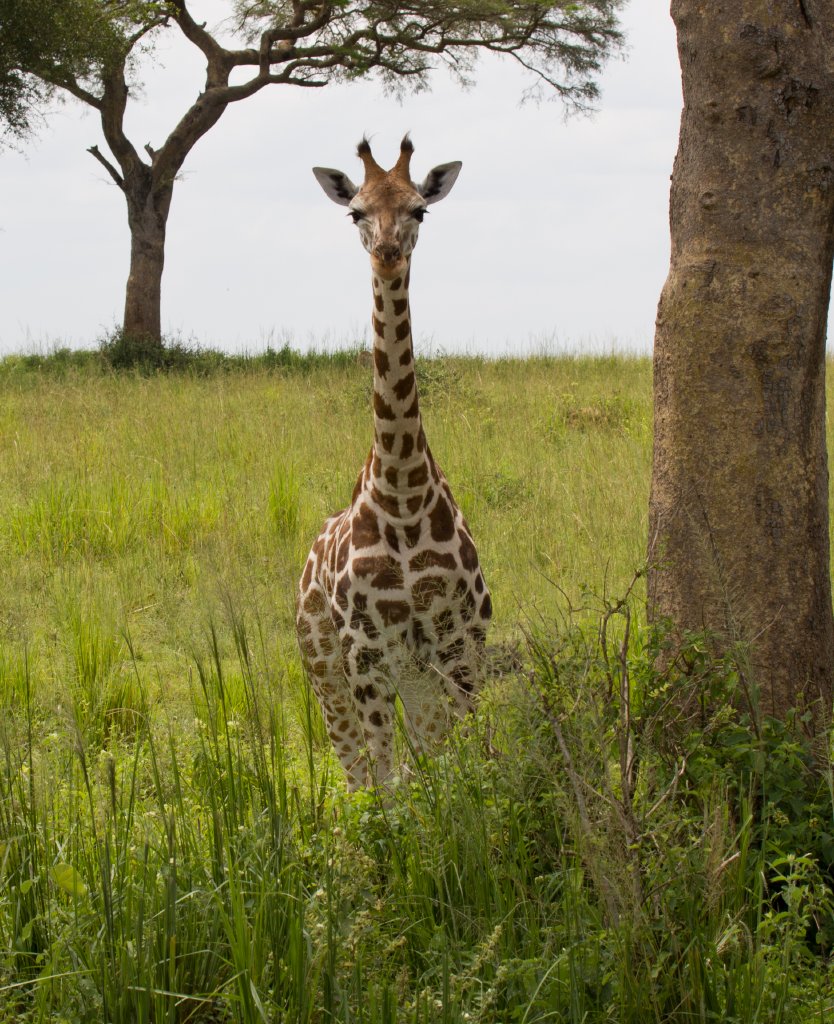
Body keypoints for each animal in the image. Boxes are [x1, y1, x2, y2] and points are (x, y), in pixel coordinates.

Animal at [296, 135, 492, 790]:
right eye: (355, 211)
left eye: (419, 210)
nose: (386, 253)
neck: (403, 494)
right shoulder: (364, 651)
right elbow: (386, 782)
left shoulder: (459, 646)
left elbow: (459, 771)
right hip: (323, 668)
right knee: (356, 773)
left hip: (416, 677)